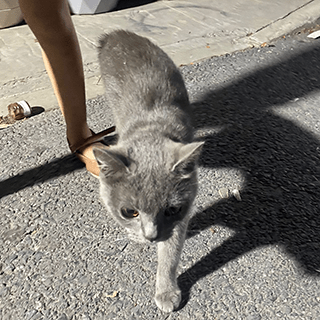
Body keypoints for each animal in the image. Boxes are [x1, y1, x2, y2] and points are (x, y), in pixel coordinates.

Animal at [93, 30, 202, 312]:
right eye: (129, 211)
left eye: (172, 209)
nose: (151, 236)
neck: (152, 130)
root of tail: (119, 34)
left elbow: (171, 252)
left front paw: (166, 291)